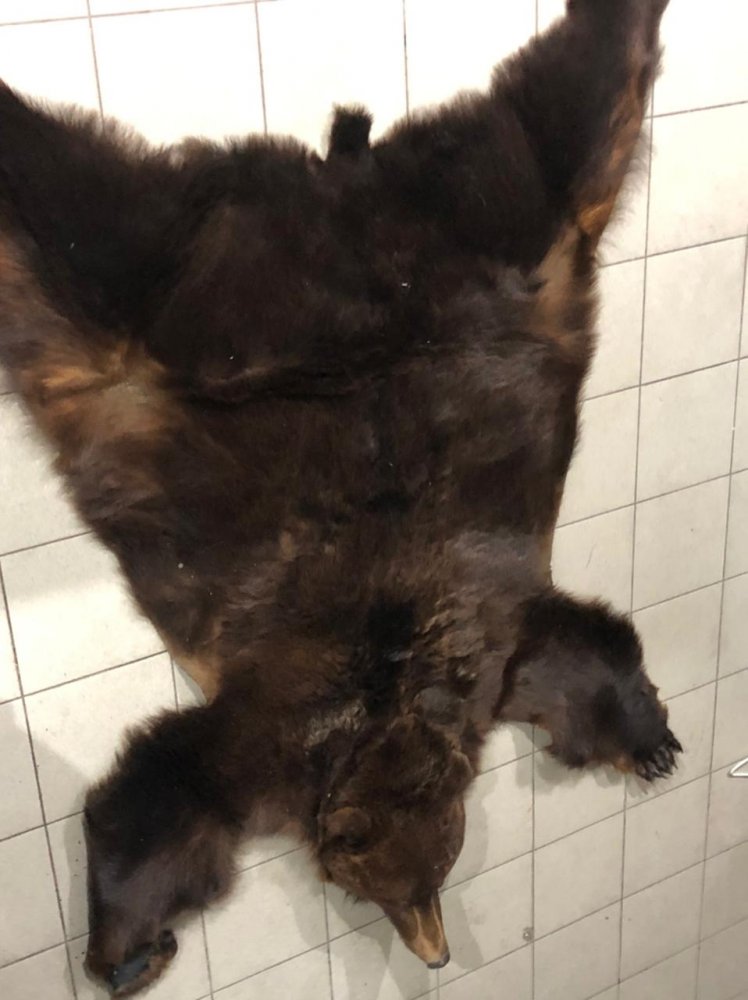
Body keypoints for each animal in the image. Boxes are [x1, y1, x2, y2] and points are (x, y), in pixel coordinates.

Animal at [0, 0, 679, 995]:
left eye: (441, 869)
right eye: (380, 892)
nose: (436, 949)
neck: (393, 706)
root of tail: (340, 199)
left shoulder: (501, 639)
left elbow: (585, 650)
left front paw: (650, 738)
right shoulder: (264, 726)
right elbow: (161, 794)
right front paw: (129, 947)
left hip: (519, 227)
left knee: (579, 109)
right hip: (152, 300)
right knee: (65, 207)